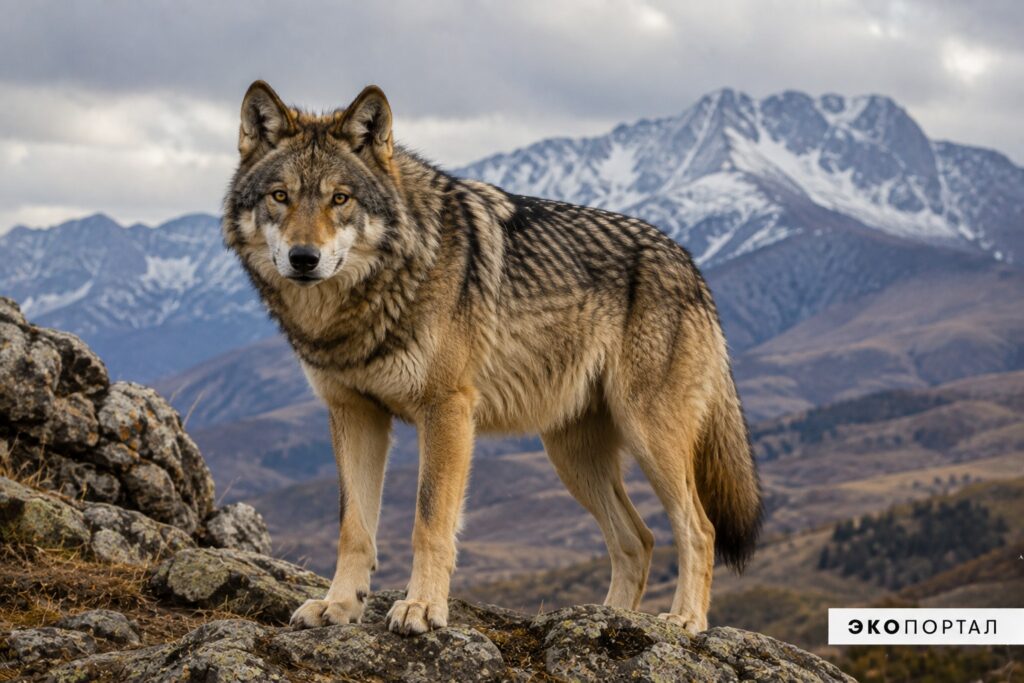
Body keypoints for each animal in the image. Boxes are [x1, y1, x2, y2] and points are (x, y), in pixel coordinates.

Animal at [222, 81, 762, 636]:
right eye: (280, 196)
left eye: (340, 198)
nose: (303, 258)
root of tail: (691, 263)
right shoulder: (354, 414)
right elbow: (355, 528)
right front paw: (339, 606)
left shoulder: (447, 411)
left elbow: (430, 522)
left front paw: (422, 608)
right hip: (571, 455)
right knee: (638, 539)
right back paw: (608, 619)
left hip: (648, 435)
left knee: (699, 527)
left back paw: (685, 620)